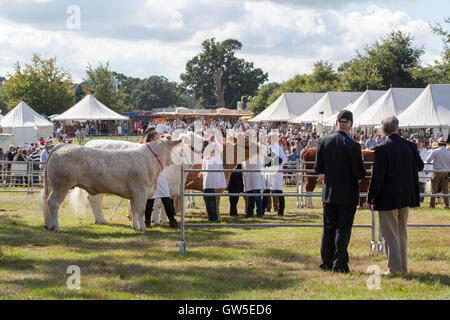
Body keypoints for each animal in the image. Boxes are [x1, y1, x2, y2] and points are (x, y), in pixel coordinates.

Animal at [40, 140, 181, 232]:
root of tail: (61, 146)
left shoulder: (133, 194)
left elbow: (134, 211)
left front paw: (135, 227)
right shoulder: (141, 191)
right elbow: (141, 210)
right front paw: (144, 228)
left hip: (53, 185)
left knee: (46, 202)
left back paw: (48, 225)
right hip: (60, 186)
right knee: (53, 203)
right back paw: (56, 227)